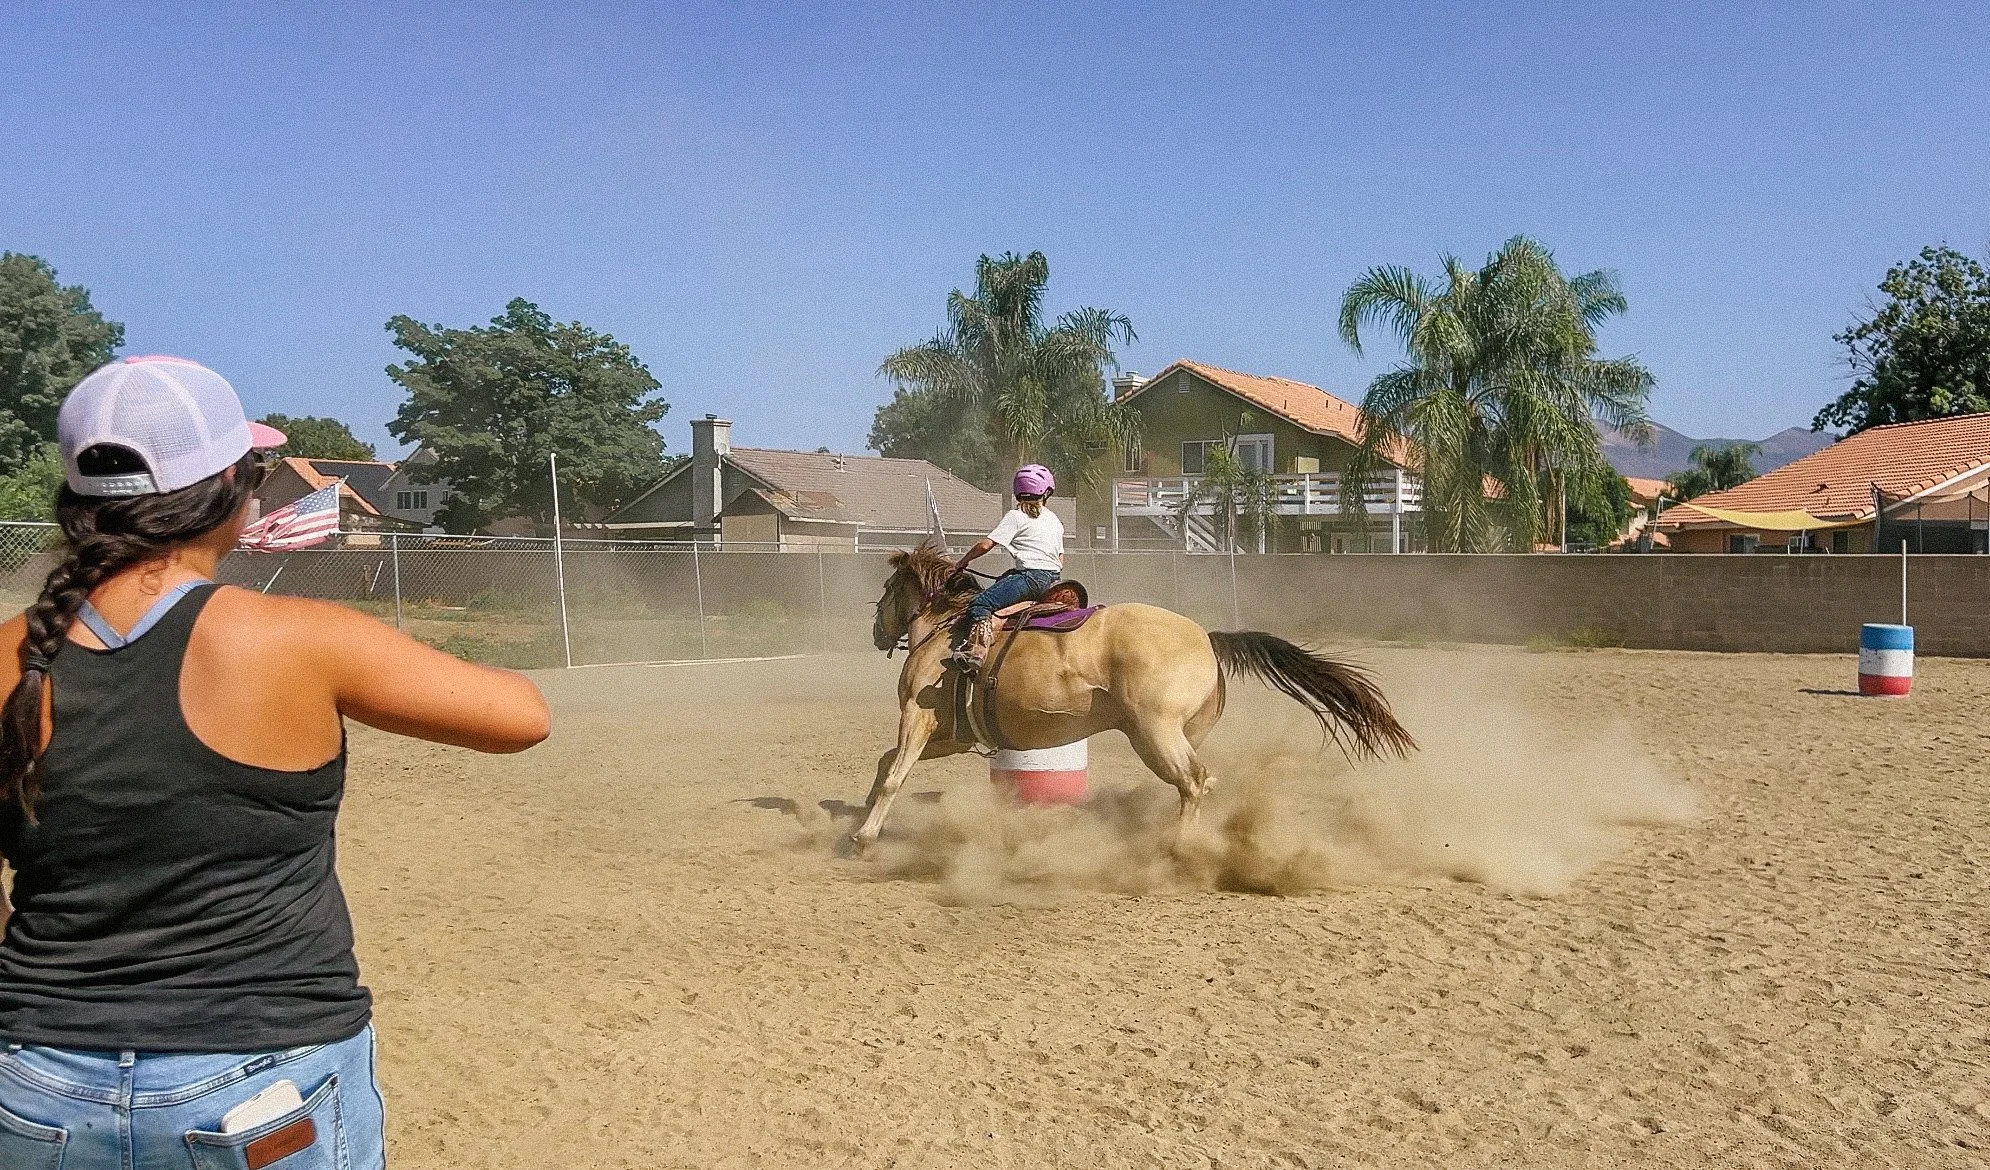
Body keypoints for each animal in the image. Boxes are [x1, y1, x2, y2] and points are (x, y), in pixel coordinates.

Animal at [853, 545, 1415, 851]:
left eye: (885, 588)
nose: (877, 631)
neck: (947, 627)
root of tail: (1206, 637)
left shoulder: (918, 715)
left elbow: (896, 774)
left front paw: (865, 835)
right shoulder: (953, 732)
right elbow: (885, 763)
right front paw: (859, 815)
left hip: (1154, 734)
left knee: (1193, 781)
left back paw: (1177, 849)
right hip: (1178, 733)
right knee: (1200, 783)